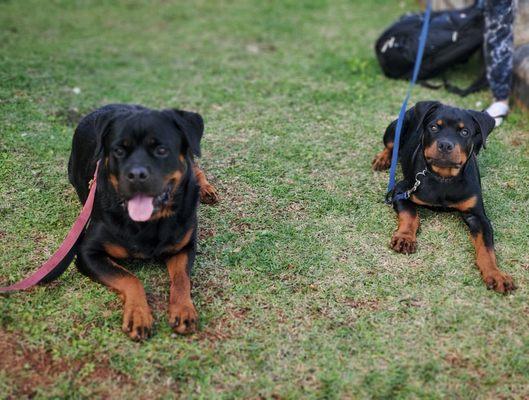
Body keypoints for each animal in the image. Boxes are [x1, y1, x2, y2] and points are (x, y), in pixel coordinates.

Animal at [69, 104, 218, 340]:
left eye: (161, 150)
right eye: (119, 151)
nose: (137, 174)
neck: (149, 222)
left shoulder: (184, 246)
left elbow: (182, 279)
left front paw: (183, 310)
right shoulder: (87, 253)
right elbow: (130, 278)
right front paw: (138, 315)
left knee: (194, 166)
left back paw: (206, 188)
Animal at [372, 100, 516, 294]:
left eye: (464, 132)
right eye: (433, 127)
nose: (445, 145)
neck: (443, 178)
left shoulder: (478, 216)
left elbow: (487, 248)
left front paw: (495, 274)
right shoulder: (400, 191)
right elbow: (410, 214)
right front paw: (405, 238)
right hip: (396, 128)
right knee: (390, 145)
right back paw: (382, 158)